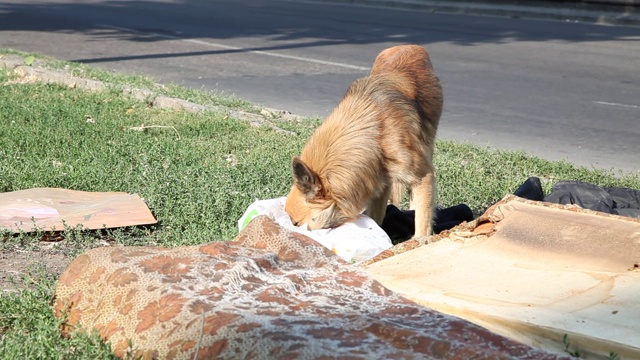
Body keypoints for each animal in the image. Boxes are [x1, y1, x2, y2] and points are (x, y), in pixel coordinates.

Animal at [286, 43, 442, 238]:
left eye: (296, 223)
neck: (376, 133)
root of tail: (408, 46)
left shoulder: (423, 176)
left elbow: (422, 220)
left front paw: (420, 241)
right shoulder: (379, 182)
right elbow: (375, 216)